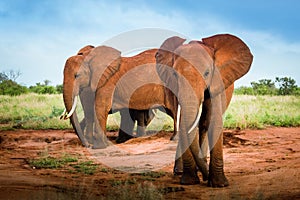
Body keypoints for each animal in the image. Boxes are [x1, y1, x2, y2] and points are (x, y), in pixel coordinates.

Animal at [157, 33, 253, 187]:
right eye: (175, 75)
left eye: (207, 73)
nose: (205, 177)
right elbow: (185, 122)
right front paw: (189, 181)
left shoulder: (218, 81)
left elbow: (214, 120)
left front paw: (219, 184)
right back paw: (182, 171)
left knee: (205, 122)